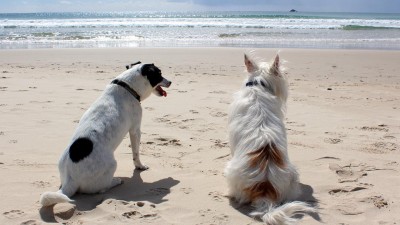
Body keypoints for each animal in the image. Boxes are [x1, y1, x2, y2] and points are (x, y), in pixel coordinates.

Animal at [39, 61, 171, 206]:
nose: (170, 82)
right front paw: (140, 166)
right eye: (159, 74)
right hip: (112, 164)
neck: (127, 86)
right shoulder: (135, 130)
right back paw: (116, 181)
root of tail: (70, 180)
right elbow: (136, 154)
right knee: (101, 188)